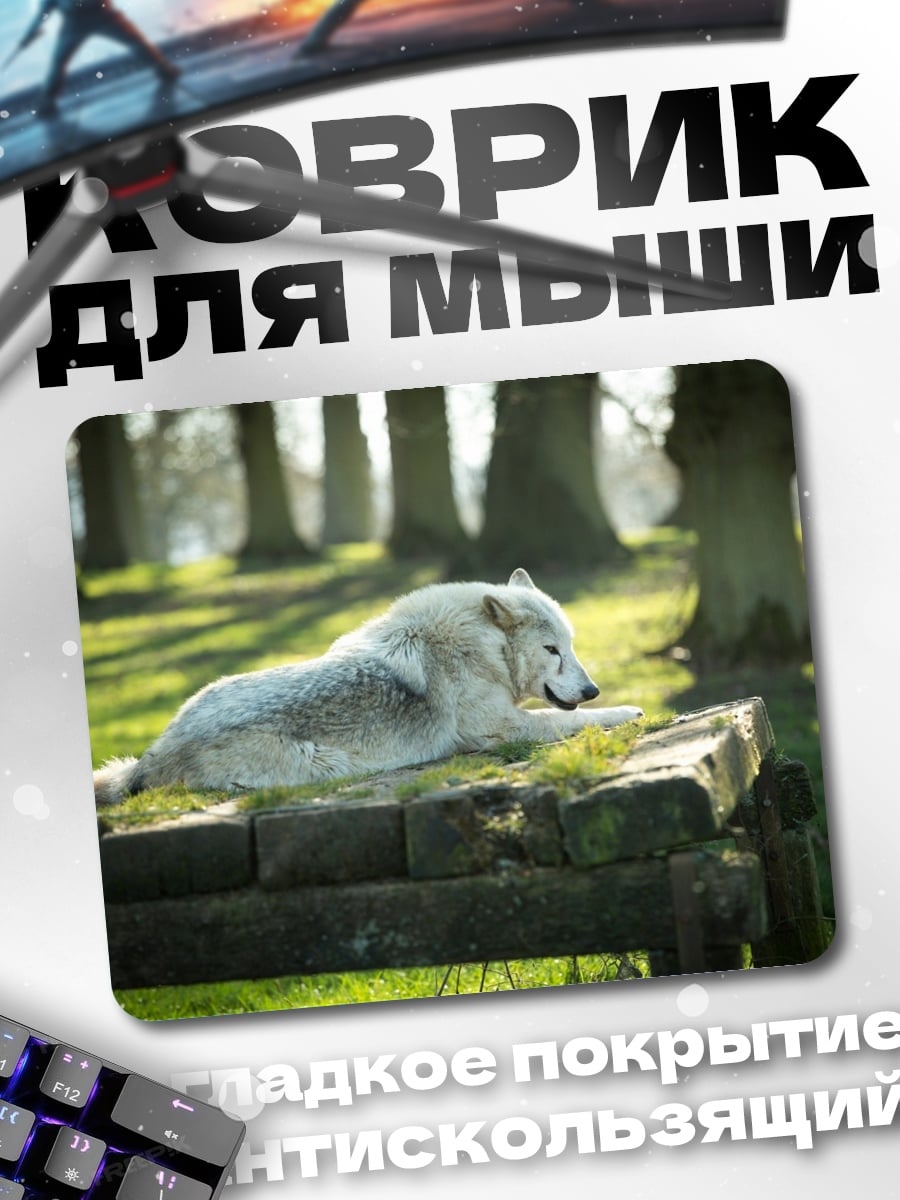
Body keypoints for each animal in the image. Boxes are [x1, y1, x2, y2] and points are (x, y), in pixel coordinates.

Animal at [93, 568, 643, 804]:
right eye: (552, 650)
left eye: (570, 646)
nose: (592, 689)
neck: (479, 646)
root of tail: (153, 755)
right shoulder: (501, 729)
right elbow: (572, 720)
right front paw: (627, 710)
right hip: (323, 764)